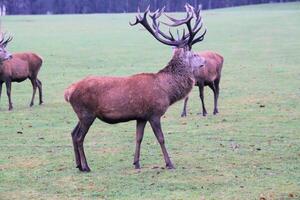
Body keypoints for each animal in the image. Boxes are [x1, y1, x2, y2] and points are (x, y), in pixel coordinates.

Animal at [64, 3, 207, 171]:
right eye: (194, 54)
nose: (205, 61)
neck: (167, 91)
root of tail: (68, 92)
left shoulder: (141, 116)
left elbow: (139, 138)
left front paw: (136, 163)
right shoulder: (154, 113)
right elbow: (161, 138)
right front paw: (169, 163)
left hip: (81, 114)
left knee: (73, 133)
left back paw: (78, 165)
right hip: (87, 113)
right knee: (80, 137)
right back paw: (86, 167)